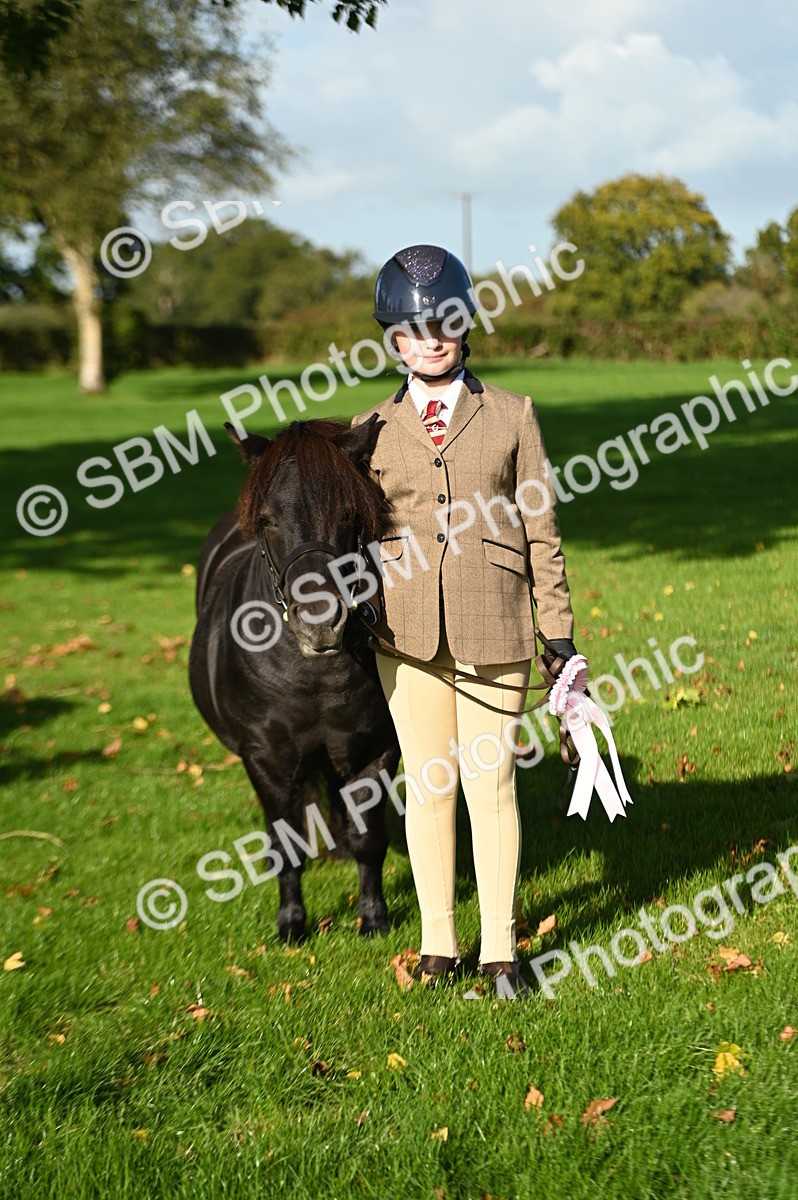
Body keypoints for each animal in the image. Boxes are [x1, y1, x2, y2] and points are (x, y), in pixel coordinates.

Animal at [188, 415, 400, 943]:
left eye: (350, 514)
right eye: (267, 520)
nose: (320, 621)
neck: (315, 678)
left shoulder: (376, 751)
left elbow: (369, 838)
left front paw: (373, 918)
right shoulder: (266, 760)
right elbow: (287, 848)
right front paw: (291, 924)